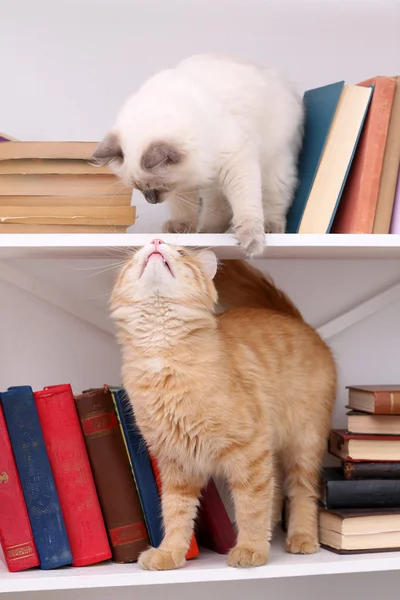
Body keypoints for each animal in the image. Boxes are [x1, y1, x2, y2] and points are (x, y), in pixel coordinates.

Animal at [93, 53, 304, 255]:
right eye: (138, 189)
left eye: (156, 188)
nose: (151, 201)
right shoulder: (182, 184)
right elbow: (184, 210)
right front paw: (182, 228)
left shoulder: (235, 162)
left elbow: (247, 207)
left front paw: (252, 241)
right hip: (216, 186)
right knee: (219, 210)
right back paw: (206, 231)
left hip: (275, 164)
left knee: (273, 200)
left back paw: (267, 228)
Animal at [111, 240, 336, 572]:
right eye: (136, 255)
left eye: (181, 253)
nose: (155, 242)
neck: (162, 355)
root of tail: (297, 320)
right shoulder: (175, 462)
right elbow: (176, 514)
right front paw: (170, 553)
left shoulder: (250, 451)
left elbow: (251, 506)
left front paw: (250, 548)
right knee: (275, 492)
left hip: (303, 444)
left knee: (301, 492)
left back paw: (301, 538)